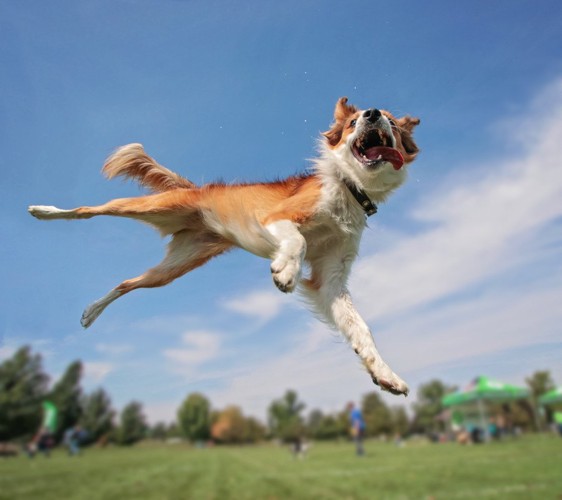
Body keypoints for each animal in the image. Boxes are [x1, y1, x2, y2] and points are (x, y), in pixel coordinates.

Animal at [28, 96, 418, 394]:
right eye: (352, 121)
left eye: (392, 124)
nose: (372, 114)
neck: (349, 189)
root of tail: (194, 189)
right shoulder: (277, 217)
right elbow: (296, 241)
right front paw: (285, 271)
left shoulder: (330, 279)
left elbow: (360, 328)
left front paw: (384, 373)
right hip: (148, 207)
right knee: (88, 210)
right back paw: (45, 212)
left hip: (174, 267)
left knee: (127, 283)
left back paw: (91, 312)